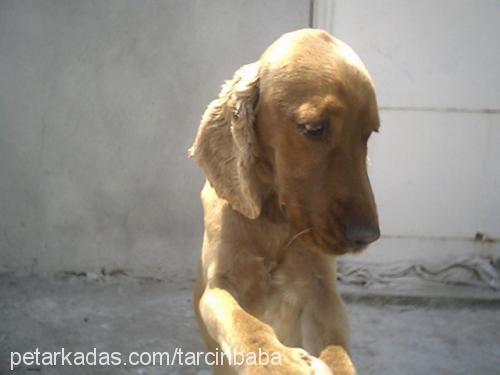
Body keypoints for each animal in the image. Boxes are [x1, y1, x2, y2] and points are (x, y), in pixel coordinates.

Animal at [189, 29, 380, 375]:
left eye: (369, 134)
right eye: (314, 129)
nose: (367, 236)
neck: (273, 221)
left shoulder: (321, 293)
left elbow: (336, 350)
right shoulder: (218, 287)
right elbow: (247, 325)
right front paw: (280, 363)